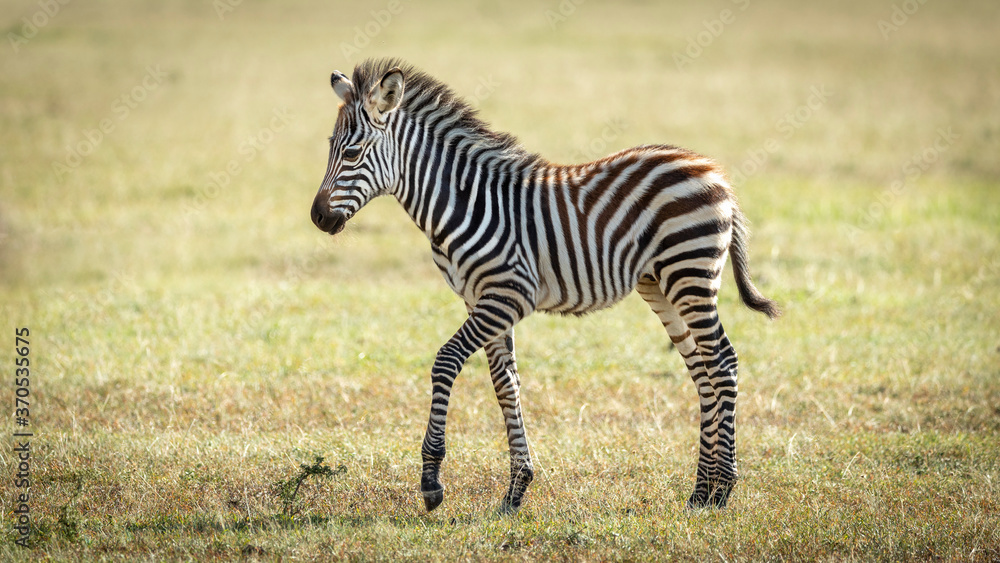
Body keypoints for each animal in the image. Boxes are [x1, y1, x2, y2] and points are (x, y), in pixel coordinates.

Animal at [310, 58, 780, 513]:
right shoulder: (479, 300)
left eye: (351, 152)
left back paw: (723, 489)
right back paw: (700, 493)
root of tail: (714, 171)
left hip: (690, 272)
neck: (464, 203)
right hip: (659, 283)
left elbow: (445, 362)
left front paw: (431, 482)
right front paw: (515, 491)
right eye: (329, 148)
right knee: (702, 371)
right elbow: (505, 385)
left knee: (723, 363)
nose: (317, 218)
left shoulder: (509, 295)